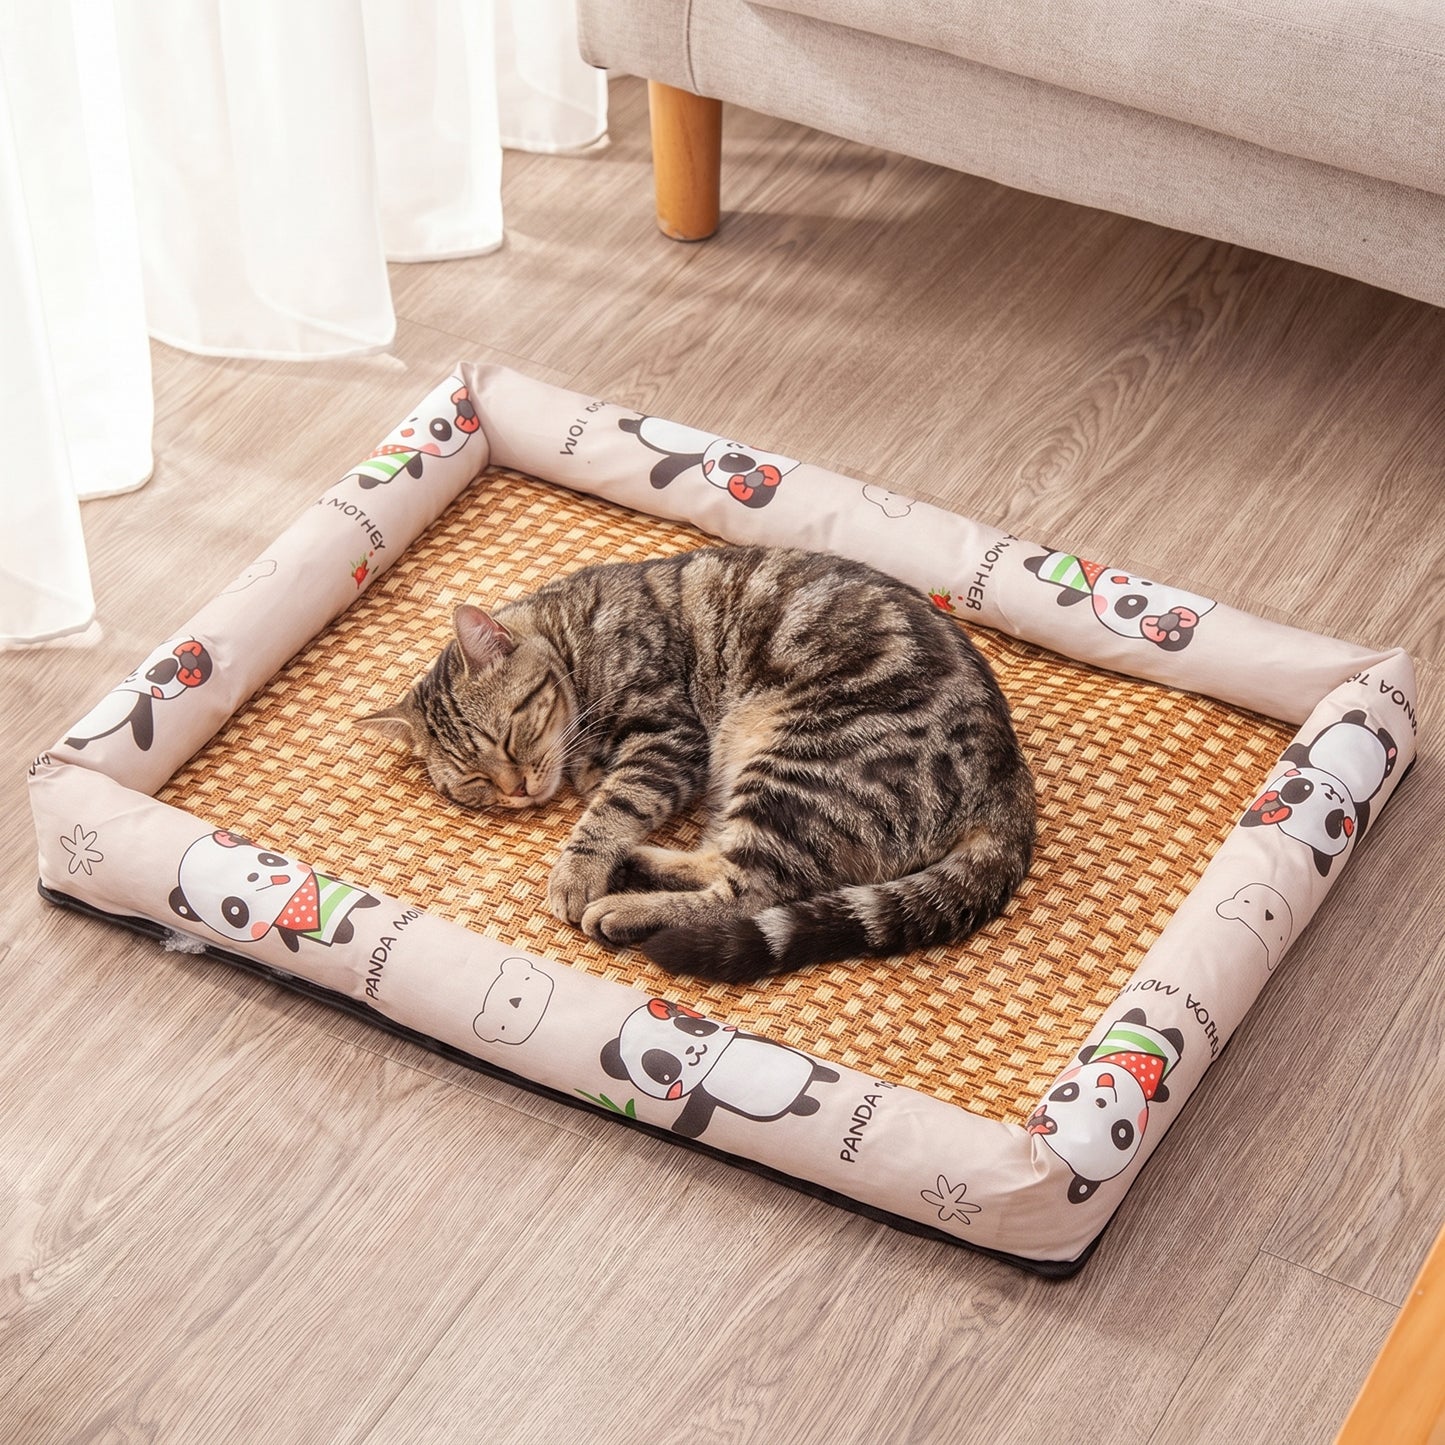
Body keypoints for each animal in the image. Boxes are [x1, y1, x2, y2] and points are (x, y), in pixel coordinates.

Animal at [599, 998, 840, 1139]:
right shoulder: (703, 1094)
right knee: (804, 1102)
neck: (715, 1064)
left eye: (698, 1029)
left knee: (816, 1075)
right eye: (664, 1074)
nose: (695, 1052)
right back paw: (810, 1104)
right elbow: (695, 1117)